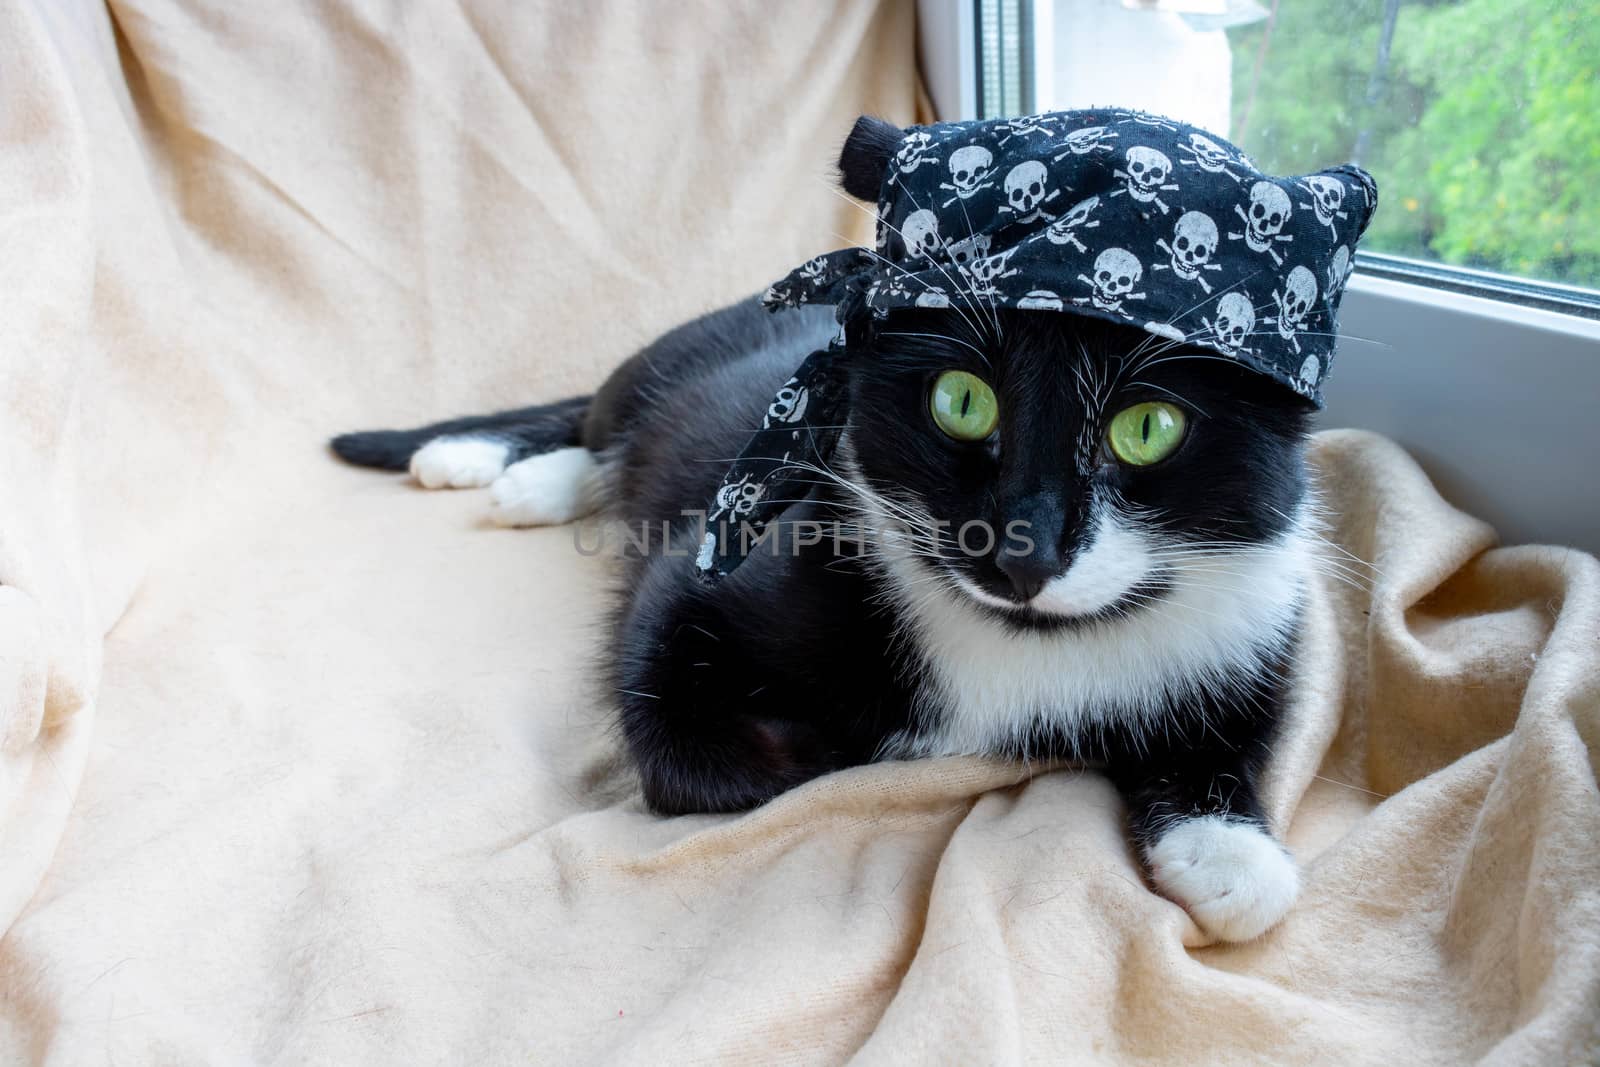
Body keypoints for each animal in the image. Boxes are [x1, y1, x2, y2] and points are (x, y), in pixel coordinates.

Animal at [331, 123, 1318, 940]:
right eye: (962, 401)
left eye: (1148, 426)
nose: (1022, 546)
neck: (1025, 646)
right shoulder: (737, 543)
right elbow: (677, 711)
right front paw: (832, 746)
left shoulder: (1256, 610)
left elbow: (1245, 725)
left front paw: (1232, 851)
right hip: (656, 370)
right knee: (593, 420)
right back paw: (506, 468)